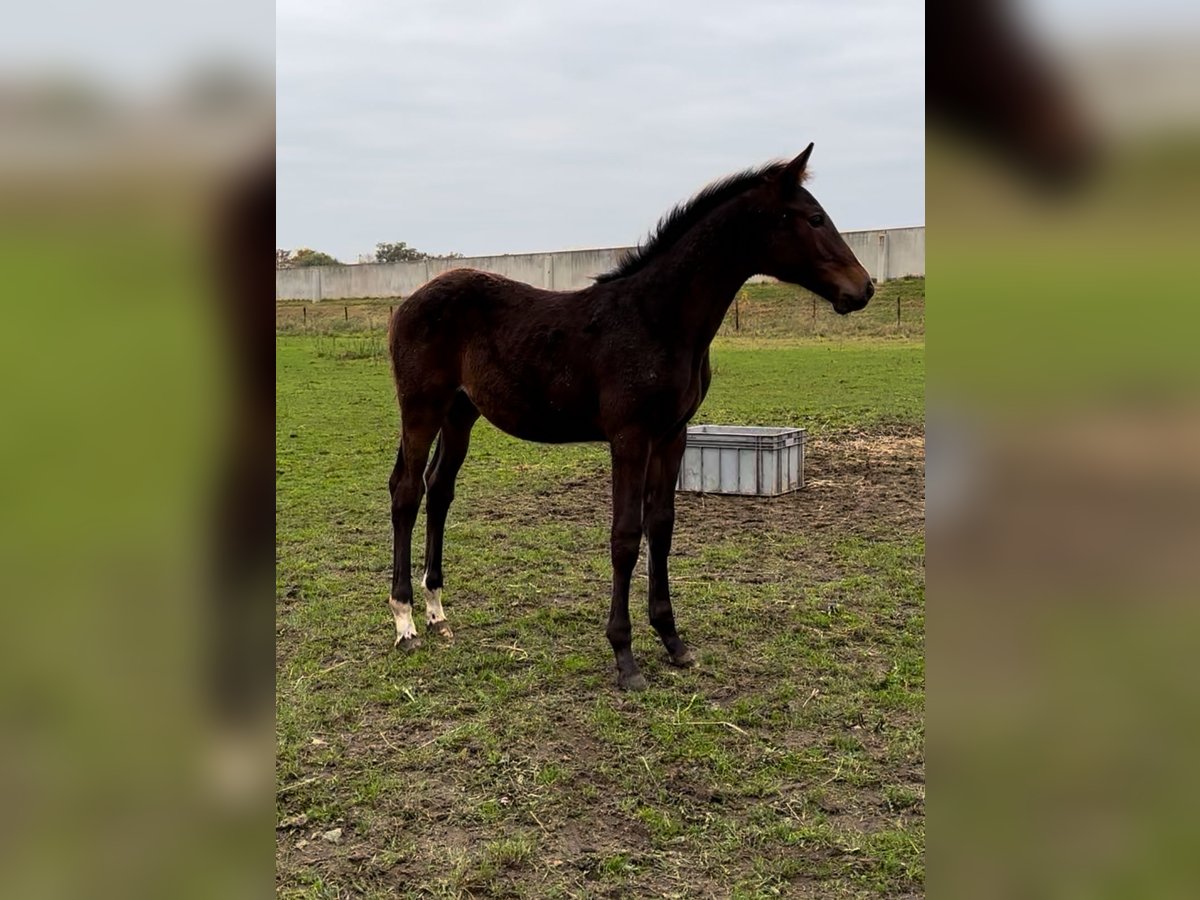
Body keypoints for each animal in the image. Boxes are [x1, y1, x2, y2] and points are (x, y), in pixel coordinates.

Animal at [384, 144, 873, 691]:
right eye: (814, 218)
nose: (864, 288)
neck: (657, 318)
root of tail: (408, 302)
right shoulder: (630, 437)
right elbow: (625, 535)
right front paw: (625, 656)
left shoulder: (672, 435)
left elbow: (660, 525)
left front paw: (673, 640)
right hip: (421, 408)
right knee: (407, 491)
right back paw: (405, 620)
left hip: (460, 414)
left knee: (439, 489)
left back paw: (436, 612)